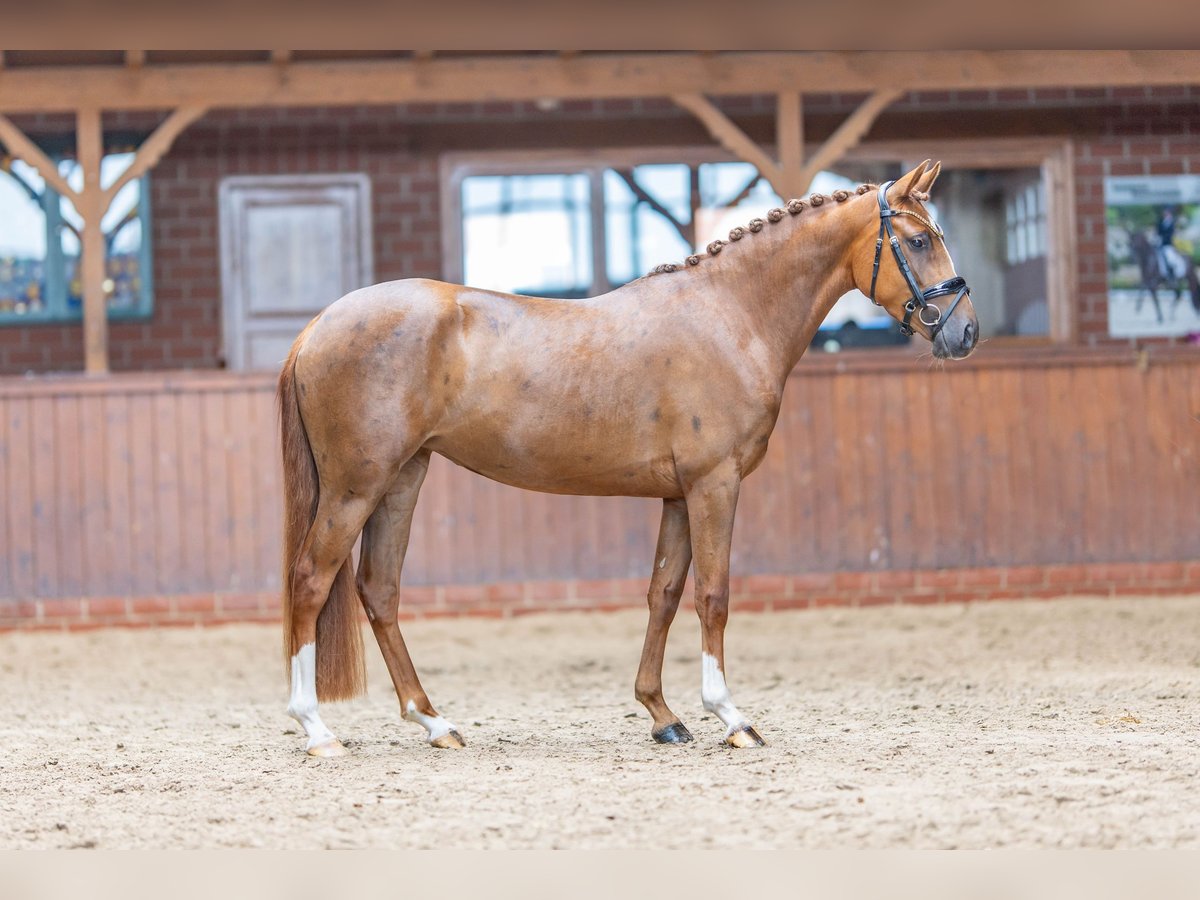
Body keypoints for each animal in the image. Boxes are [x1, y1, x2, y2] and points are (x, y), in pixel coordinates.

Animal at [278, 160, 974, 753]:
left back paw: (434, 722)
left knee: (379, 590)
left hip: (401, 479)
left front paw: (662, 715)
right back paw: (316, 729)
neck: (731, 314)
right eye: (917, 241)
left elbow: (663, 593)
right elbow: (714, 594)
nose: (963, 333)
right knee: (311, 580)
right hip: (355, 487)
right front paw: (731, 717)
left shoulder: (678, 494)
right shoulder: (715, 485)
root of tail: (315, 329)